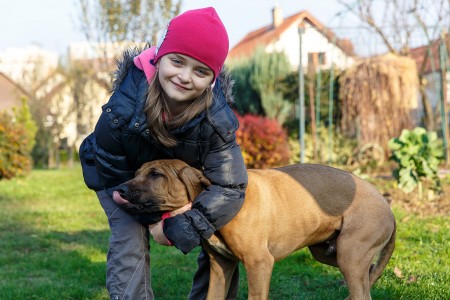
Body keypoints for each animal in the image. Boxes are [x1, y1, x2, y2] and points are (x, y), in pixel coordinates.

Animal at [113, 158, 398, 298]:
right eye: (137, 173)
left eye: (156, 175)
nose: (120, 189)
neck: (218, 199)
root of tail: (389, 208)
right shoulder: (220, 267)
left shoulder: (259, 263)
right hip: (330, 252)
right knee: (368, 276)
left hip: (349, 255)